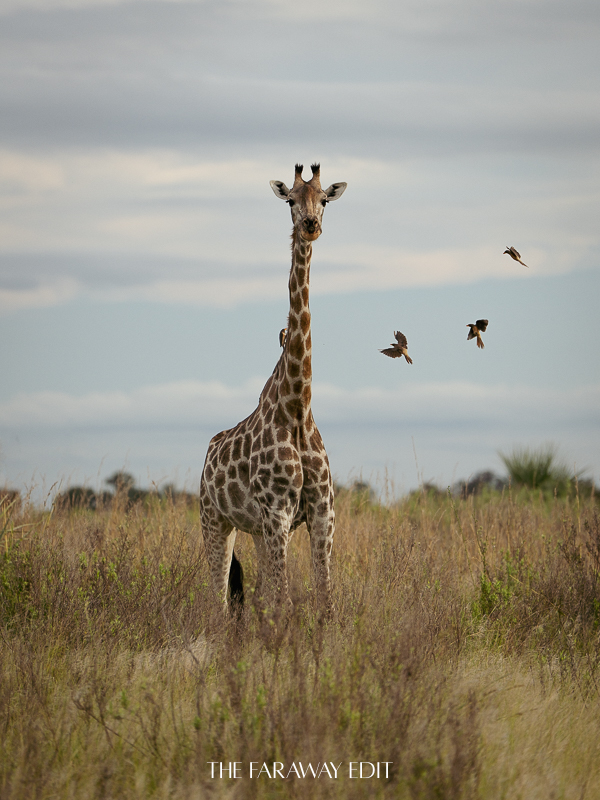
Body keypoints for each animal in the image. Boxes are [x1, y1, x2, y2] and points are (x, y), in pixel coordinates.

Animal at [199, 163, 347, 615]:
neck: (297, 406)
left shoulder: (322, 512)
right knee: (217, 600)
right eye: (290, 201)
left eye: (325, 199)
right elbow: (283, 601)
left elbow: (324, 599)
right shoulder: (277, 511)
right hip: (215, 521)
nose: (311, 225)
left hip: (255, 531)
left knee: (256, 594)